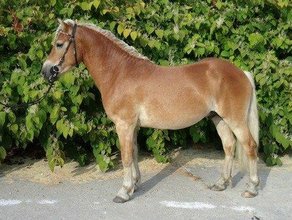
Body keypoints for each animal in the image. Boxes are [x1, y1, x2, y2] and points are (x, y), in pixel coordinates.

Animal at [42, 19, 258, 203]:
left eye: (59, 44)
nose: (46, 71)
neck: (119, 73)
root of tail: (242, 73)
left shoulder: (124, 125)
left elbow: (126, 157)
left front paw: (123, 192)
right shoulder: (133, 126)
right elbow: (134, 152)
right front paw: (134, 185)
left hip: (235, 120)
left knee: (250, 146)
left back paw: (251, 188)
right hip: (218, 118)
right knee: (229, 146)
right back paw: (221, 183)